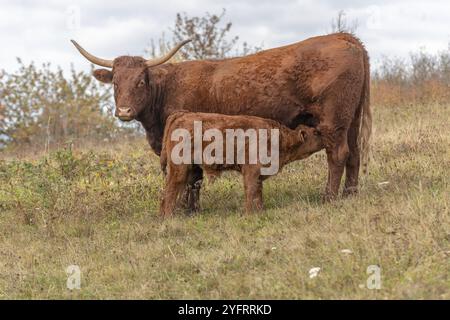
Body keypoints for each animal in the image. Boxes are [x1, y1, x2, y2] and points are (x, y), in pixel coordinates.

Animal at [158, 111, 324, 216]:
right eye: (315, 133)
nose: (325, 136)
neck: (279, 138)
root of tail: (181, 115)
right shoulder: (251, 171)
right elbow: (251, 192)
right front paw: (250, 214)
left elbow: (258, 193)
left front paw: (260, 211)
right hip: (179, 169)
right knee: (171, 191)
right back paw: (169, 217)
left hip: (189, 169)